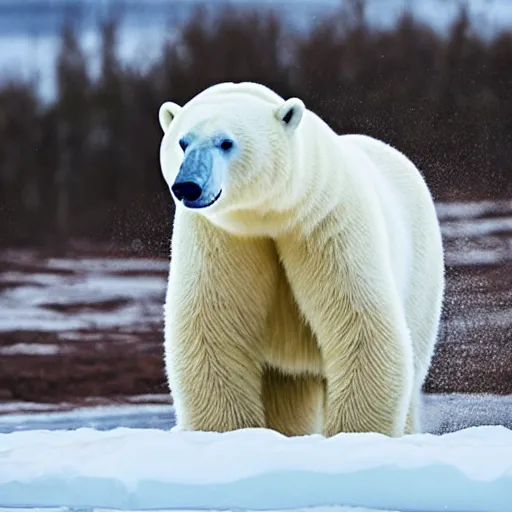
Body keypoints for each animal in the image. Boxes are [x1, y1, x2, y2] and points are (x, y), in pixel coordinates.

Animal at [157, 82, 444, 438]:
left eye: (225, 142)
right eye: (182, 142)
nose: (188, 186)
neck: (271, 214)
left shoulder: (326, 224)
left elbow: (362, 324)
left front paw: (357, 433)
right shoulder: (219, 237)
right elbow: (212, 329)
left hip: (422, 274)